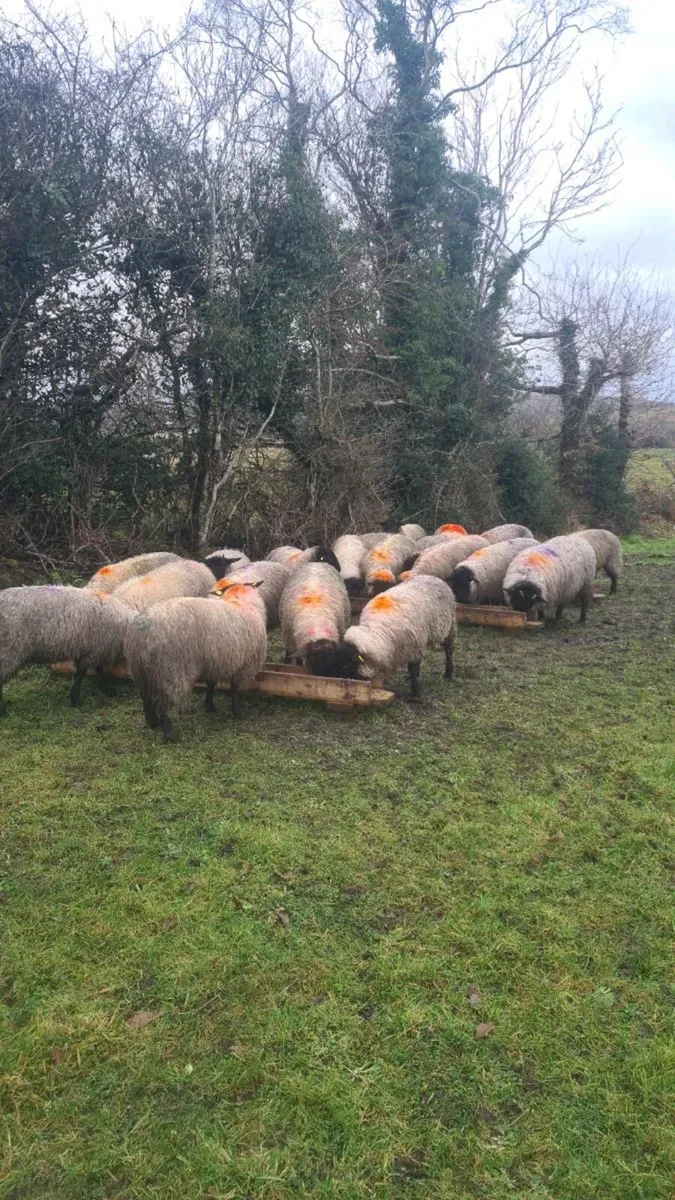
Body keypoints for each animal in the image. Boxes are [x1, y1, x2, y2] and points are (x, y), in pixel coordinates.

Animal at [0, 585, 133, 713]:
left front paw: (106, 689)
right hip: (9, 650)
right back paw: (3, 711)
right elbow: (81, 675)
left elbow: (99, 670)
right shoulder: (94, 650)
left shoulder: (96, 650)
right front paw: (75, 700)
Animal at [125, 581, 268, 742]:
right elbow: (235, 689)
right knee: (160, 703)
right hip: (169, 671)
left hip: (141, 670)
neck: (238, 600)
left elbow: (211, 685)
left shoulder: (213, 663)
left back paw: (152, 723)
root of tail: (141, 632)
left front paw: (209, 706)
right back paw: (170, 734)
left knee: (145, 697)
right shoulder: (243, 664)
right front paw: (237, 712)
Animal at [309, 576, 457, 697]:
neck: (377, 630)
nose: (334, 684)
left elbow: (412, 668)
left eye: (345, 666)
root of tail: (434, 577)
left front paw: (415, 693)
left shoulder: (414, 646)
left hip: (449, 626)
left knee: (448, 650)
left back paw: (448, 673)